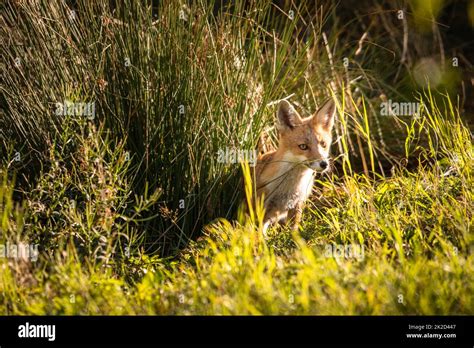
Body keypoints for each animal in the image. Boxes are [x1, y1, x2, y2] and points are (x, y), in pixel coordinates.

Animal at [256, 98, 336, 234]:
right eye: (303, 146)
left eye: (323, 144)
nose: (324, 164)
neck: (290, 188)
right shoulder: (263, 205)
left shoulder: (297, 204)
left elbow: (294, 231)